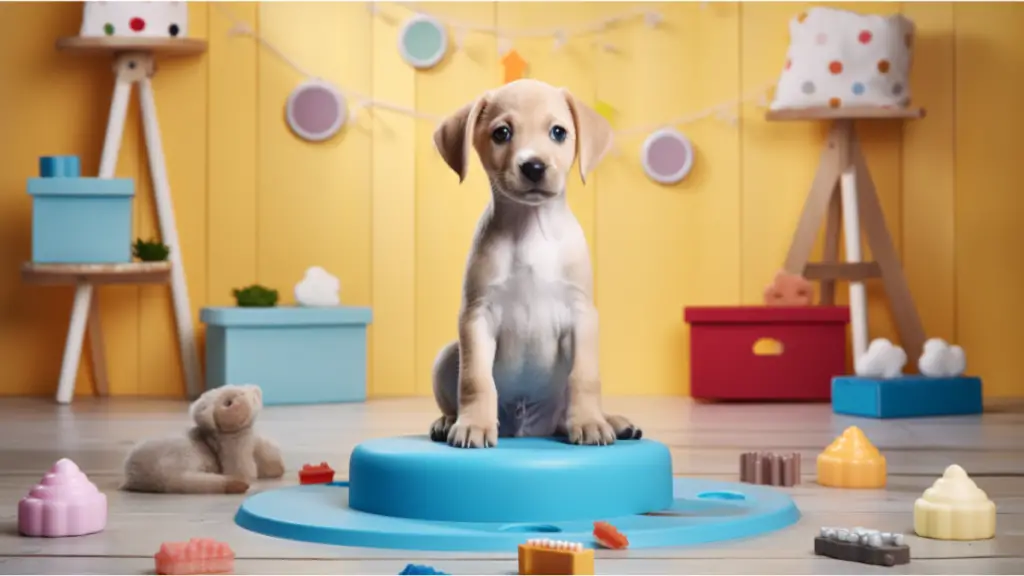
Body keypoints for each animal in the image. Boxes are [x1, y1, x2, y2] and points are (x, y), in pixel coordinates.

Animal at [425, 79, 634, 448]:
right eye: (502, 133)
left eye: (558, 132)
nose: (534, 166)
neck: (531, 229)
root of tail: (528, 429)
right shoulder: (476, 316)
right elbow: (475, 379)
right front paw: (474, 424)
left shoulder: (581, 315)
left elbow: (584, 377)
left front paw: (589, 422)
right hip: (447, 354)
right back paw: (447, 421)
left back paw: (612, 421)